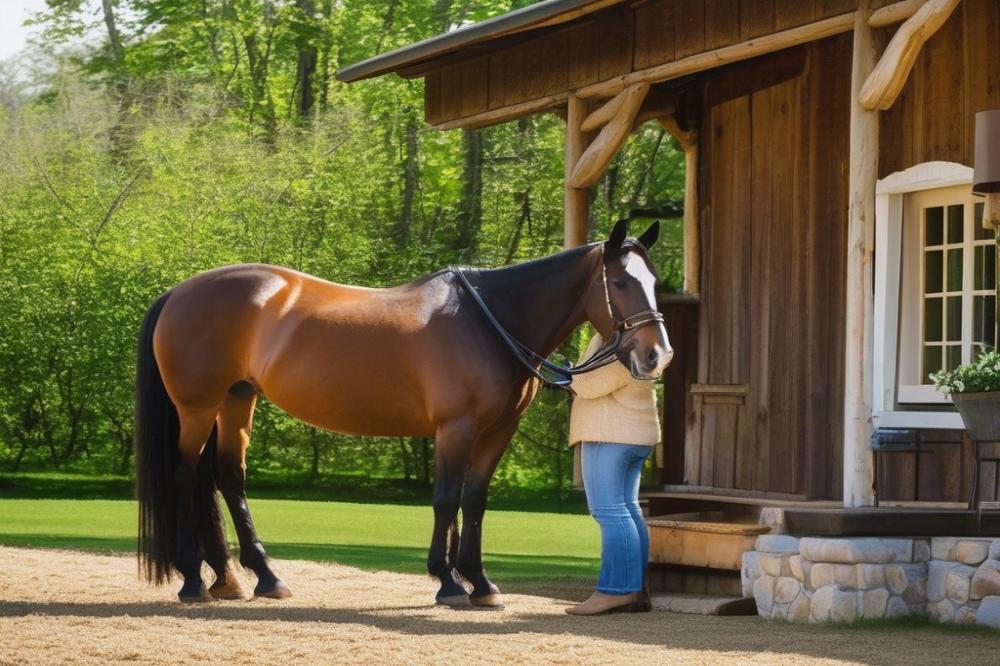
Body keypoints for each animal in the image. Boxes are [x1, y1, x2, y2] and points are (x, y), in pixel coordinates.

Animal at [135, 218, 672, 600]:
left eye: (654, 280)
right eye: (621, 283)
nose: (657, 355)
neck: (489, 320)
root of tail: (179, 292)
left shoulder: (497, 432)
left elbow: (474, 500)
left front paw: (480, 583)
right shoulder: (456, 428)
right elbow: (446, 499)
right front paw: (449, 582)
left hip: (236, 401)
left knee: (226, 477)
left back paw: (257, 577)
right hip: (198, 408)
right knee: (186, 476)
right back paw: (193, 579)